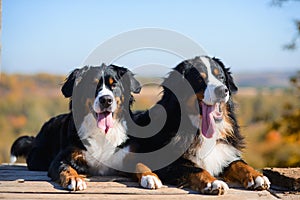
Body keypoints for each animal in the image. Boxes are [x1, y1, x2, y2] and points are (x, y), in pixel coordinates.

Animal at [9, 64, 162, 191]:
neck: (102, 133)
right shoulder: (61, 157)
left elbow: (140, 163)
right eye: (92, 85)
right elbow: (66, 168)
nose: (106, 100)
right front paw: (74, 179)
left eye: (114, 85)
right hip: (38, 158)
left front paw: (150, 176)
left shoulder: (125, 156)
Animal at [132, 55, 270, 195]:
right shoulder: (169, 162)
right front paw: (213, 182)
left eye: (221, 77)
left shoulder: (224, 152)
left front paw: (256, 176)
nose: (222, 90)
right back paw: (150, 178)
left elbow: (238, 163)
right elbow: (196, 169)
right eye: (199, 79)